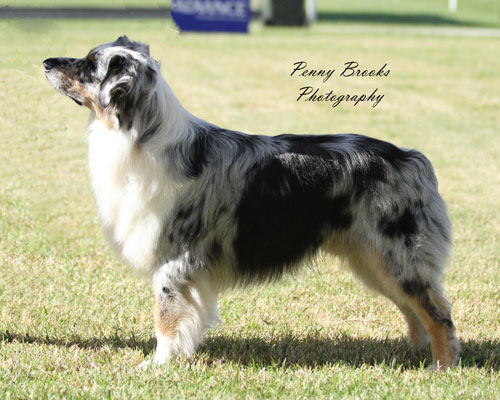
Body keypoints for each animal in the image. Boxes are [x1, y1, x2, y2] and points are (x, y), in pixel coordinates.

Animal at [43, 36, 460, 369]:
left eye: (88, 65)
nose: (46, 62)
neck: (140, 135)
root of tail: (411, 157)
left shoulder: (173, 260)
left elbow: (165, 319)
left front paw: (157, 366)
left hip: (397, 255)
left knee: (438, 313)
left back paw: (441, 367)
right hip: (372, 259)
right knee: (413, 309)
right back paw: (414, 354)